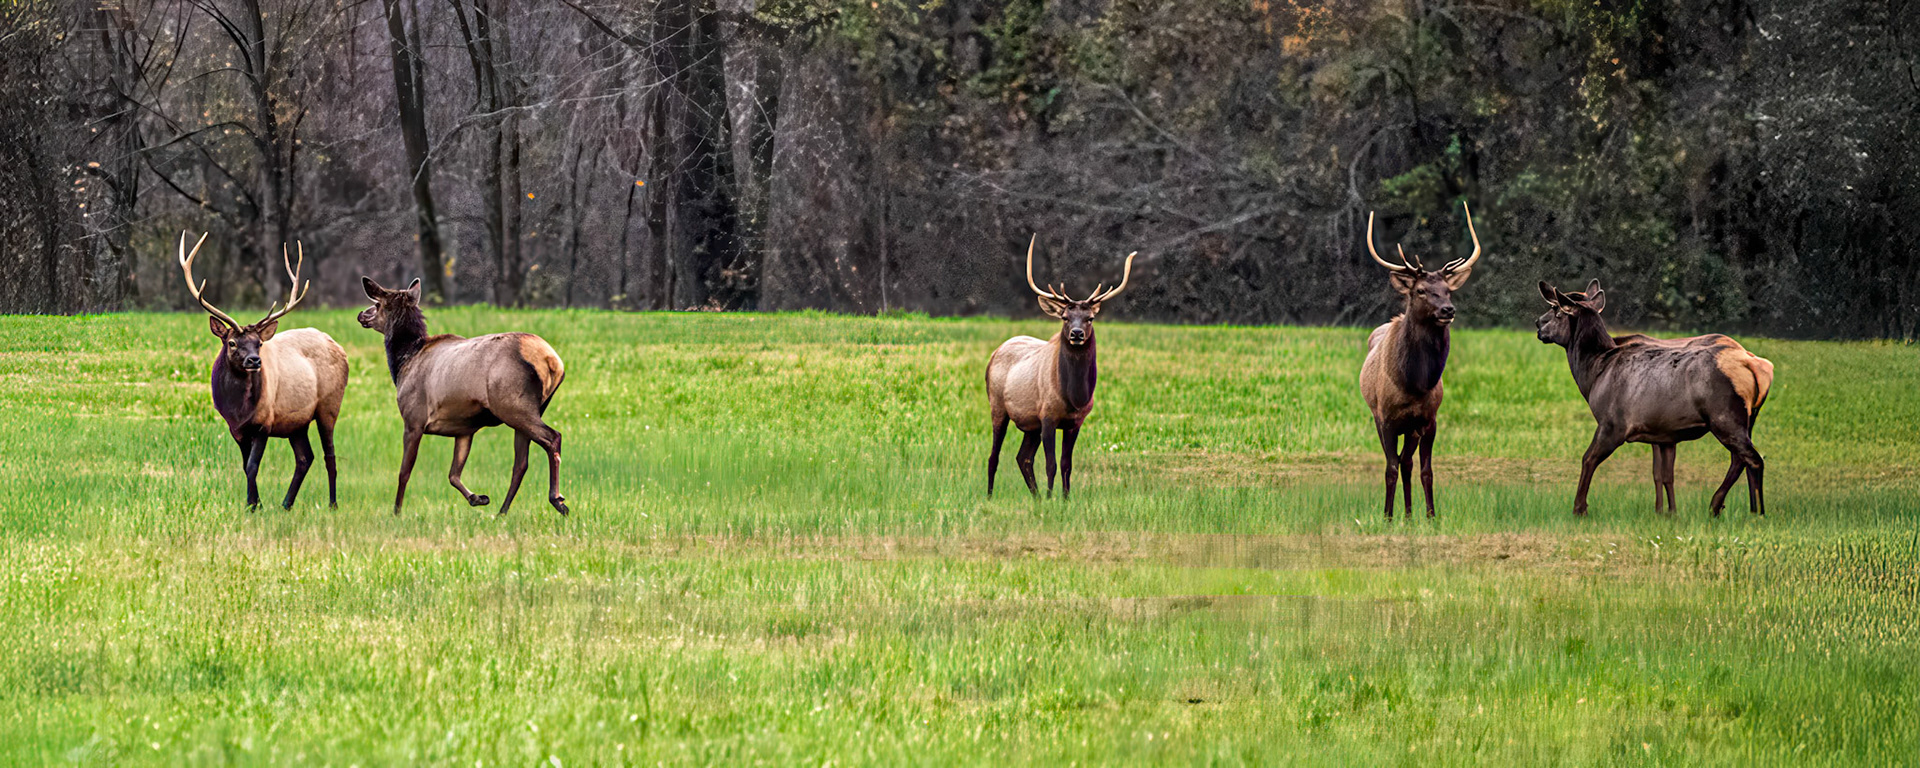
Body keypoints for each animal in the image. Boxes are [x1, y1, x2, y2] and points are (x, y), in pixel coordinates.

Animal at [178, 232, 349, 510]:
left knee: (329, 455)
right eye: (231, 342)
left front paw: (252, 505)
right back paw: (286, 504)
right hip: (296, 421)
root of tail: (339, 347)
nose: (254, 361)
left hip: (329, 406)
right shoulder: (236, 429)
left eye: (258, 343)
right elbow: (244, 466)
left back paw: (332, 504)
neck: (238, 409)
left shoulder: (264, 422)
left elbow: (252, 466)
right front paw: (255, 504)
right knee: (305, 457)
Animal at [357, 277, 568, 516]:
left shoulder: (413, 420)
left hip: (513, 405)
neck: (403, 363)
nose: (361, 314)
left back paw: (557, 500)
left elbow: (404, 472)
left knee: (552, 438)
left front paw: (396, 512)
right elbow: (453, 474)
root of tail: (552, 362)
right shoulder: (464, 429)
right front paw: (478, 498)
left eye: (377, 304)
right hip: (529, 408)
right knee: (520, 463)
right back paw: (502, 511)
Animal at [985, 236, 1135, 500]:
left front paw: (1064, 500)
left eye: (1090, 318)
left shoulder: (1075, 422)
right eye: (1065, 317)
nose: (1076, 334)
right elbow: (1051, 464)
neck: (1073, 396)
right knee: (994, 456)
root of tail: (993, 355)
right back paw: (990, 496)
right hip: (998, 407)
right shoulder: (1048, 416)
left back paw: (1034, 498)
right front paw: (1050, 498)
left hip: (1030, 424)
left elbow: (1067, 464)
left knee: (1022, 457)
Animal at [1358, 202, 1482, 519]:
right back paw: (1401, 514)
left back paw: (1410, 513)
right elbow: (1389, 468)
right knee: (1399, 462)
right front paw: (1387, 517)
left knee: (1408, 462)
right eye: (1420, 291)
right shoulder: (1386, 418)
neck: (1414, 383)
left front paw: (1431, 516)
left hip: (1412, 428)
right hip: (1378, 416)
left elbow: (1426, 470)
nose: (1448, 310)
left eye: (1448, 290)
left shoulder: (1428, 419)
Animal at [1536, 279, 1774, 517]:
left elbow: (1588, 459)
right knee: (1741, 459)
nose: (1538, 324)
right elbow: (1664, 474)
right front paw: (1668, 512)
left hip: (1725, 416)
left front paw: (1579, 508)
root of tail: (1757, 365)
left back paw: (1753, 512)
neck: (1594, 372)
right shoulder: (1663, 433)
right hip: (1748, 419)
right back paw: (1729, 506)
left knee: (1753, 459)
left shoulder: (1612, 423)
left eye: (1556, 310)